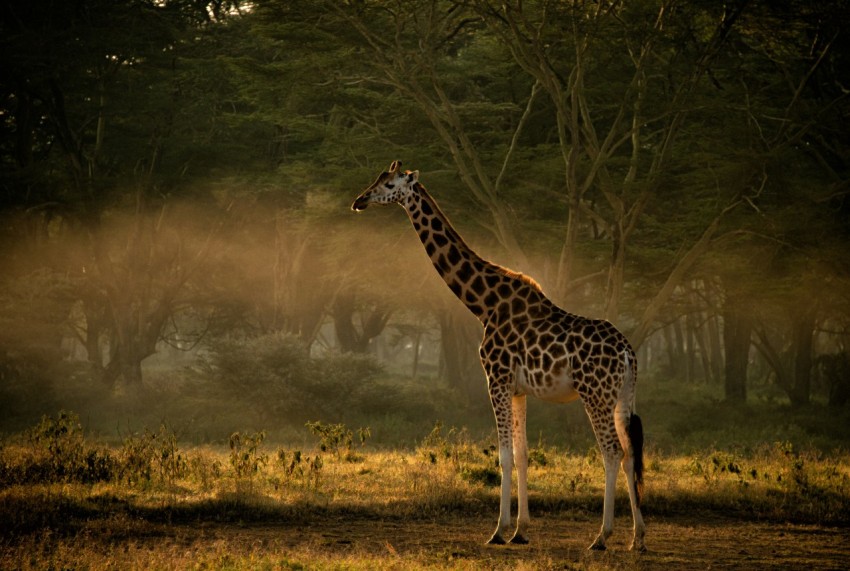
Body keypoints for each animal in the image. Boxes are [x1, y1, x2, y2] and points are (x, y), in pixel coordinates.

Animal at [352, 160, 644, 548]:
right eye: (375, 179)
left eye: (388, 183)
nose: (359, 200)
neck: (484, 305)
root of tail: (628, 353)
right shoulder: (519, 389)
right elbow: (522, 455)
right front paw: (521, 530)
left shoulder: (497, 379)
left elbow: (504, 455)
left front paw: (498, 530)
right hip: (622, 395)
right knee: (630, 454)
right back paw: (638, 537)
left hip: (595, 394)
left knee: (612, 451)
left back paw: (601, 536)